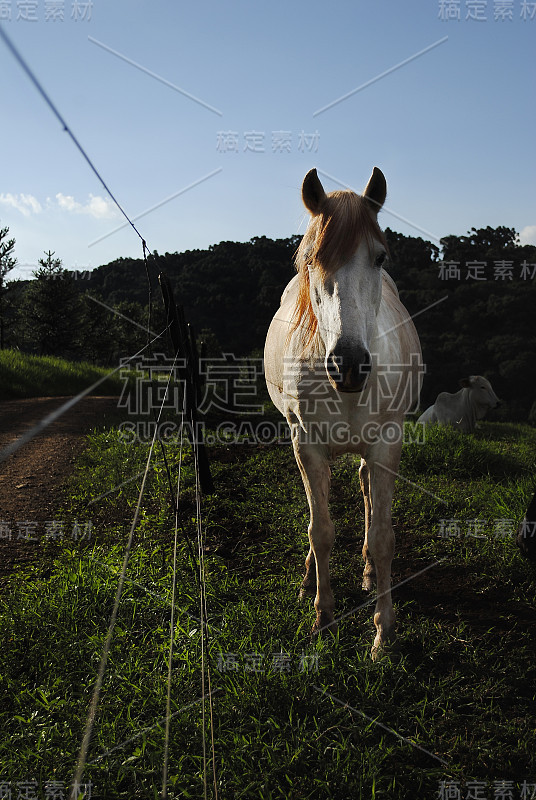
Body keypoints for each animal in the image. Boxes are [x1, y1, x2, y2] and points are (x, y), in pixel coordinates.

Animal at [264, 167, 422, 656]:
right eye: (312, 259)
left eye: (379, 257)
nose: (349, 364)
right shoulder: (307, 444)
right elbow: (321, 529)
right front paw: (323, 616)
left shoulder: (387, 444)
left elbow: (384, 536)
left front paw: (384, 634)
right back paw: (308, 580)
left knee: (368, 493)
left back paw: (369, 574)